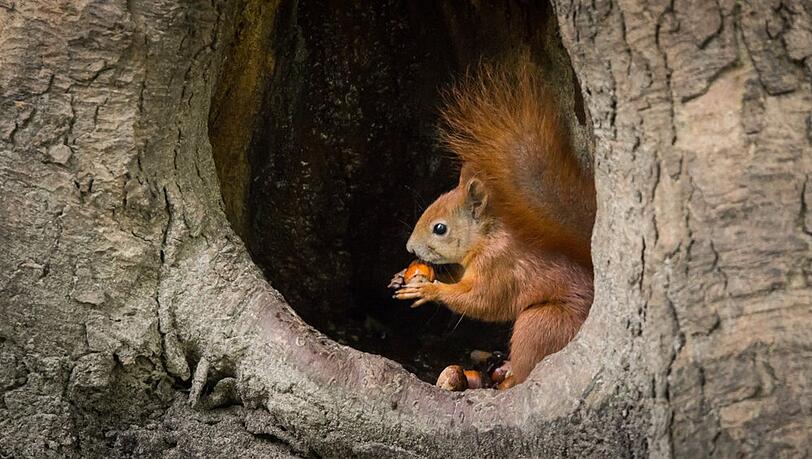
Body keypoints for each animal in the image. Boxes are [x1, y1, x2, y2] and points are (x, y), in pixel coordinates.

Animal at [392, 55, 596, 385]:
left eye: (440, 228)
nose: (410, 248)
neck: (485, 238)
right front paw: (404, 275)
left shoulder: (499, 266)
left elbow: (480, 301)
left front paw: (429, 290)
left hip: (539, 323)